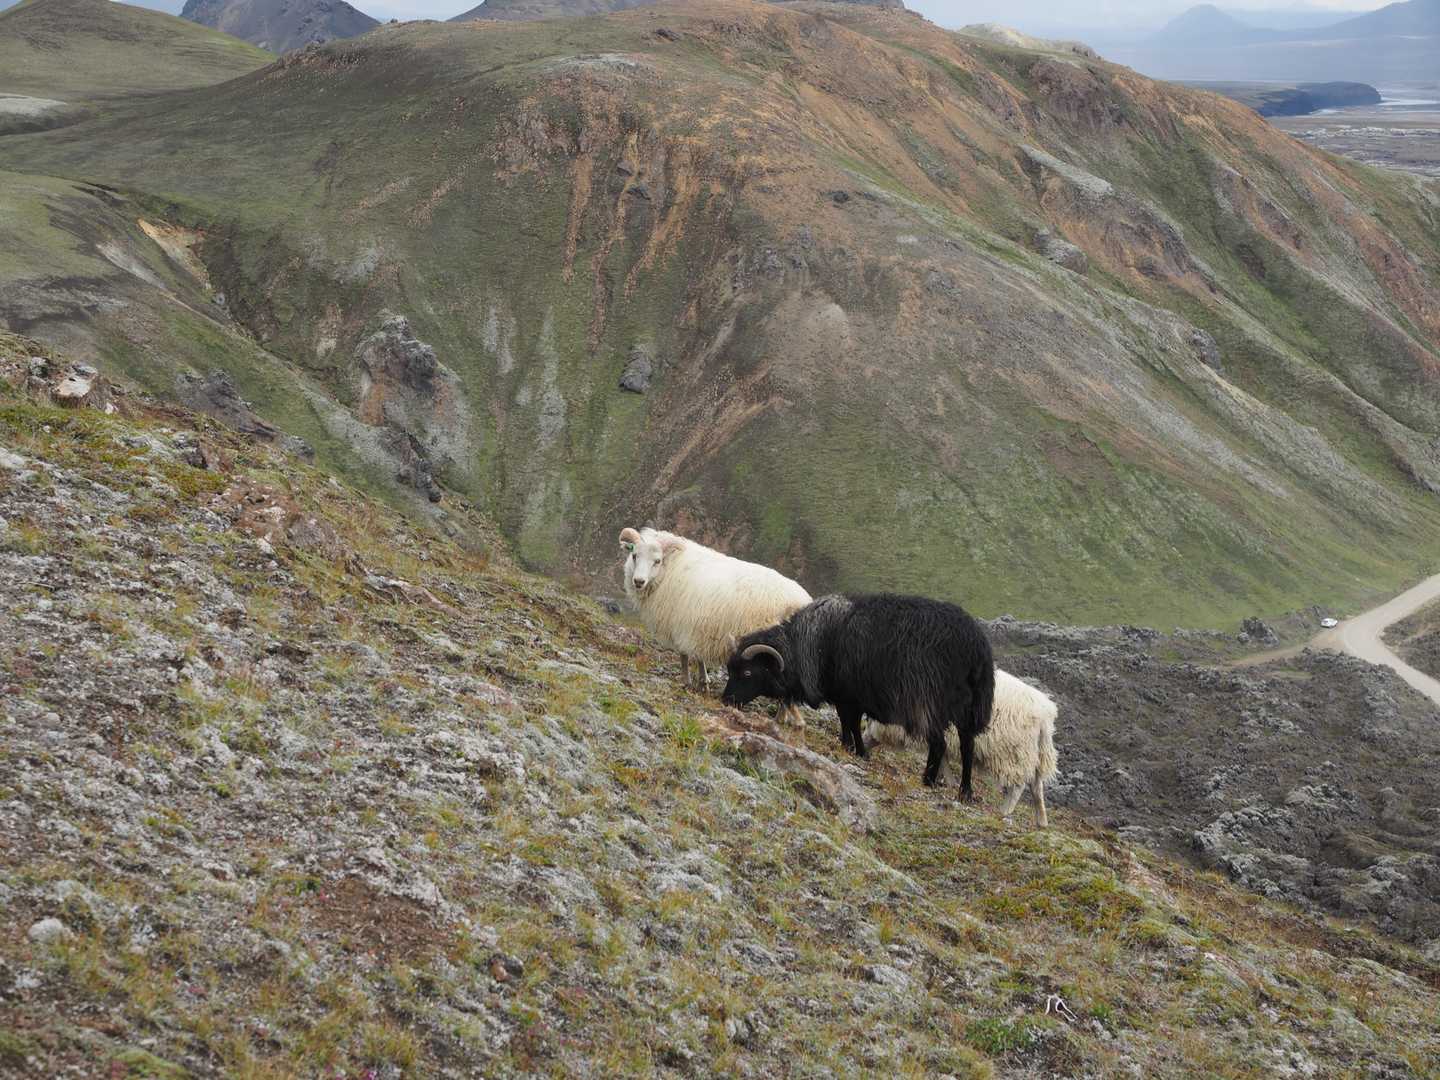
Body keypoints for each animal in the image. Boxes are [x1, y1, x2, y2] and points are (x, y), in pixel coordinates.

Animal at [618, 526, 812, 705]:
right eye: (634, 556)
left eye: (657, 561)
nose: (638, 581)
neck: (670, 568)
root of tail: (804, 600)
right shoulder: (697, 627)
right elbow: (698, 657)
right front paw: (703, 682)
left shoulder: (682, 623)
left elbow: (685, 655)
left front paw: (688, 681)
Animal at [721, 594, 994, 800]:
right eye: (730, 669)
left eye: (747, 672)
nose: (726, 700)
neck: (811, 645)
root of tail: (975, 648)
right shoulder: (850, 699)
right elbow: (849, 725)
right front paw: (852, 748)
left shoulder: (849, 698)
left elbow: (850, 724)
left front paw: (856, 750)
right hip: (968, 708)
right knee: (967, 746)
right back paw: (965, 792)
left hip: (929, 703)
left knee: (939, 744)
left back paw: (927, 780)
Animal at [862, 668, 1058, 827]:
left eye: (869, 721)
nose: (861, 748)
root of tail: (1046, 716)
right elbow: (943, 759)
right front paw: (948, 782)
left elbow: (940, 757)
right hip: (1033, 754)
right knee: (1037, 787)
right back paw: (1041, 821)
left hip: (1013, 753)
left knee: (1018, 787)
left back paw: (1004, 811)